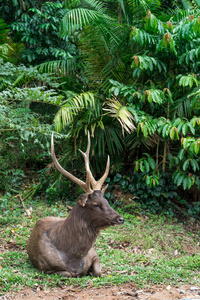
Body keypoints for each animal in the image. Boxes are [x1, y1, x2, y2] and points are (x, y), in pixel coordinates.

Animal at [26, 132, 123, 278]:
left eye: (107, 201)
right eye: (96, 204)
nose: (120, 219)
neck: (75, 257)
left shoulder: (94, 253)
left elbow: (98, 272)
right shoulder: (45, 268)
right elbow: (71, 273)